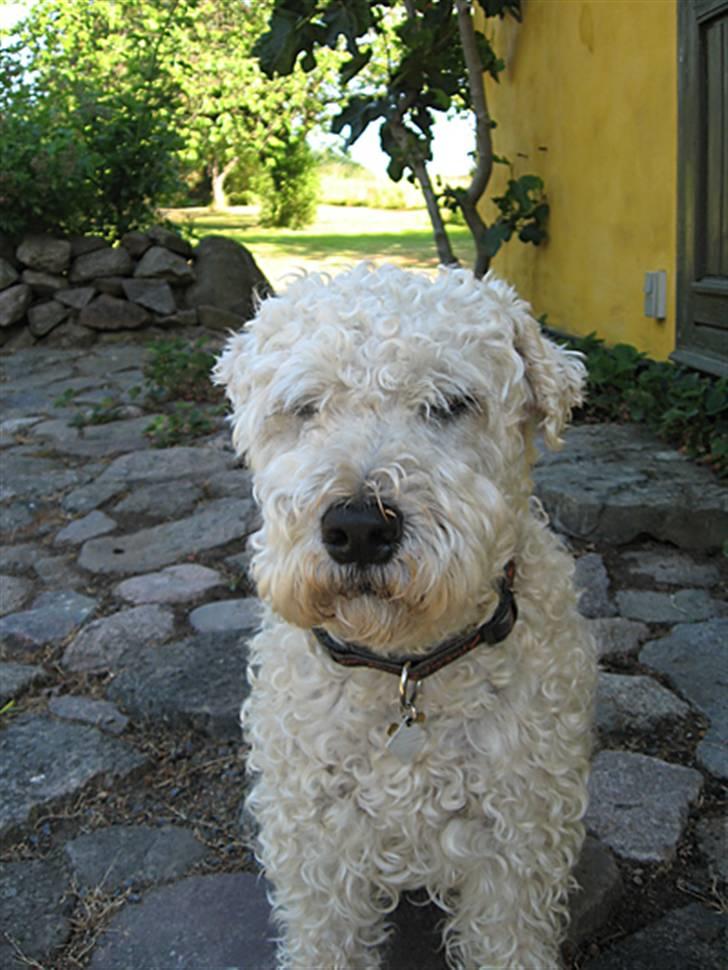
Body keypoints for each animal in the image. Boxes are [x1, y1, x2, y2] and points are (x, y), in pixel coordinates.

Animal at [216, 264, 596, 968]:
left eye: (451, 403)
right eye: (305, 405)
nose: (359, 528)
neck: (404, 669)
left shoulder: (516, 842)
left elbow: (509, 939)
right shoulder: (315, 845)